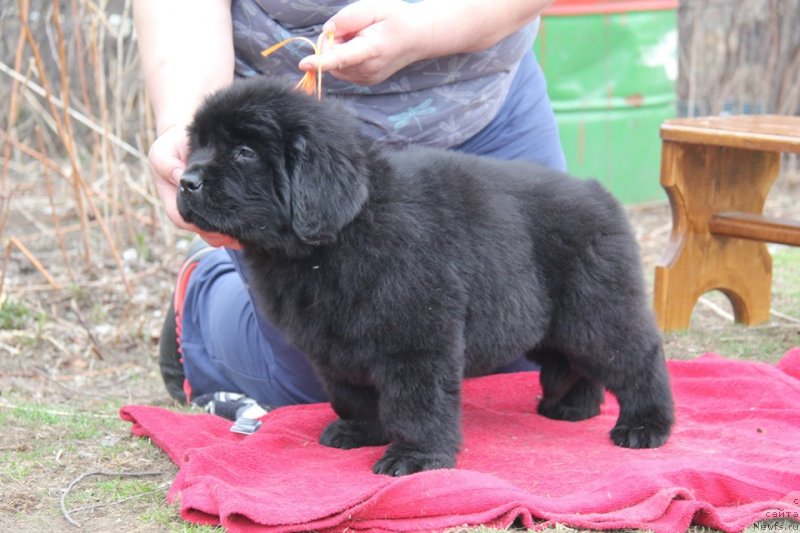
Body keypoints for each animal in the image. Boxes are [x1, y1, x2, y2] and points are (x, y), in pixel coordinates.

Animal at [177, 77, 676, 476]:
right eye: (198, 147)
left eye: (244, 152)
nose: (185, 181)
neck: (347, 229)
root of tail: (600, 194)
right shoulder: (335, 345)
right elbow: (353, 393)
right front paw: (360, 431)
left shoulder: (416, 337)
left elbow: (417, 403)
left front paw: (415, 458)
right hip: (551, 322)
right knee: (573, 360)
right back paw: (573, 407)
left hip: (596, 309)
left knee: (637, 356)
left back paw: (645, 425)